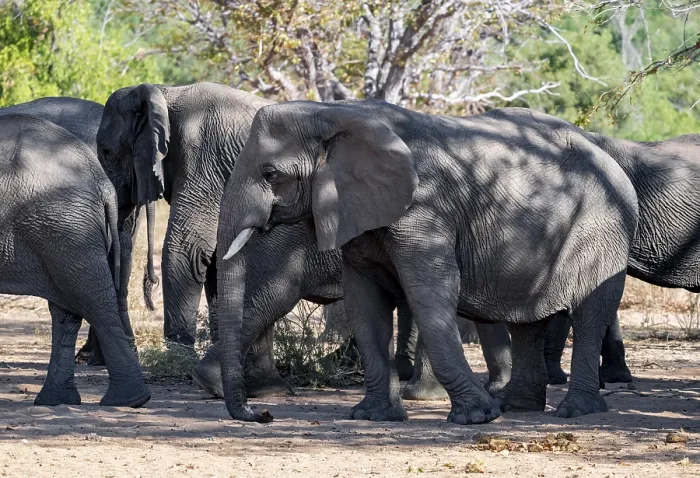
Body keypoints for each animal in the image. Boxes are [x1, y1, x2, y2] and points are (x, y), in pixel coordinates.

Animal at [0, 113, 150, 407]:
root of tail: (100, 182)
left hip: (64, 225)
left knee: (92, 299)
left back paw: (128, 400)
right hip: (63, 228)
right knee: (67, 309)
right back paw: (56, 400)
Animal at [215, 100, 638, 424]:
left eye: (271, 174)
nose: (264, 413)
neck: (334, 114)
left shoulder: (424, 210)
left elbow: (430, 296)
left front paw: (476, 418)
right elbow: (365, 305)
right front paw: (374, 417)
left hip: (603, 230)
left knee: (590, 313)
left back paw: (575, 412)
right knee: (528, 323)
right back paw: (518, 408)